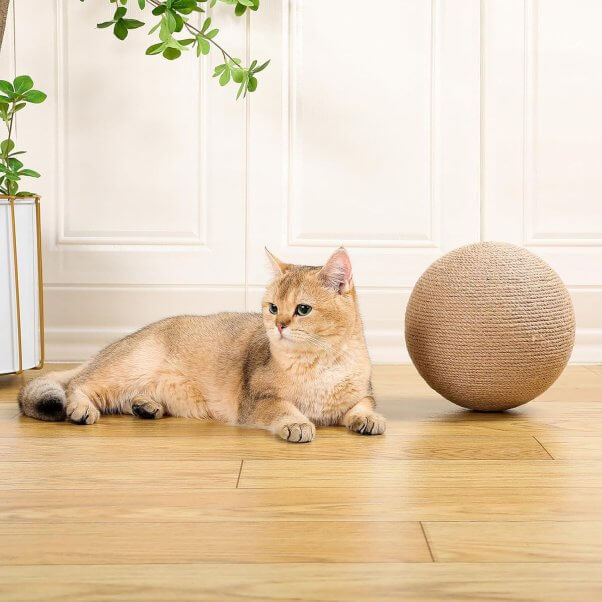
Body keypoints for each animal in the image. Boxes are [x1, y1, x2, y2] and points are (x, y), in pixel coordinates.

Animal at [19, 247, 384, 440]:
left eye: (303, 310)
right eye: (273, 308)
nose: (279, 325)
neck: (319, 364)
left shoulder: (364, 392)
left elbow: (363, 406)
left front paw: (368, 420)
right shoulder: (257, 401)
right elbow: (283, 407)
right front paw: (297, 423)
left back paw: (145, 406)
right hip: (126, 368)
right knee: (78, 384)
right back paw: (81, 409)